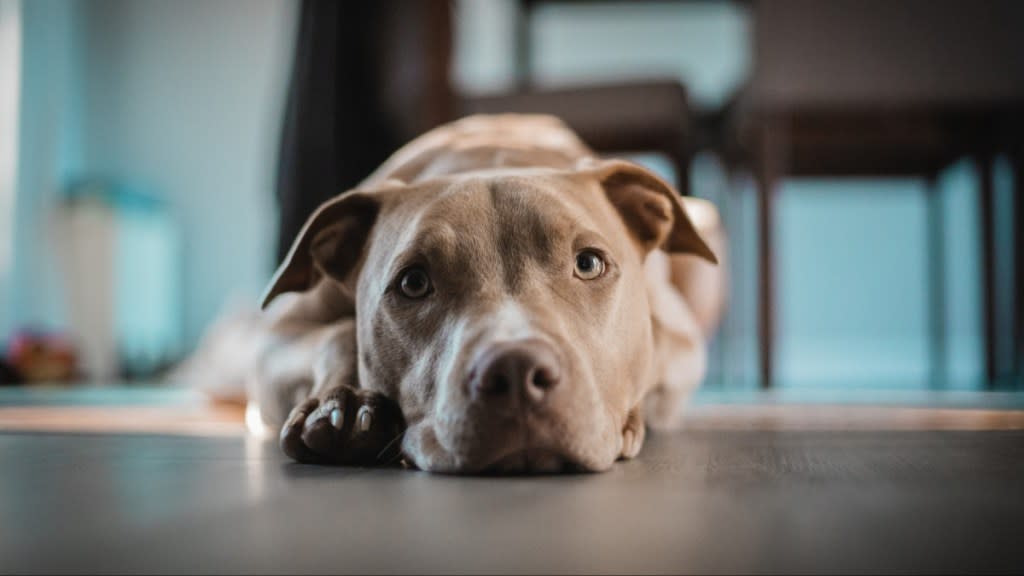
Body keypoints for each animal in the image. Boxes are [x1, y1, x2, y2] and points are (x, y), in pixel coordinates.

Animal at [195, 113, 724, 471]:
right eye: (413, 283)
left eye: (589, 263)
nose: (516, 371)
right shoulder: (275, 342)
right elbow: (336, 335)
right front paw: (343, 408)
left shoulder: (681, 343)